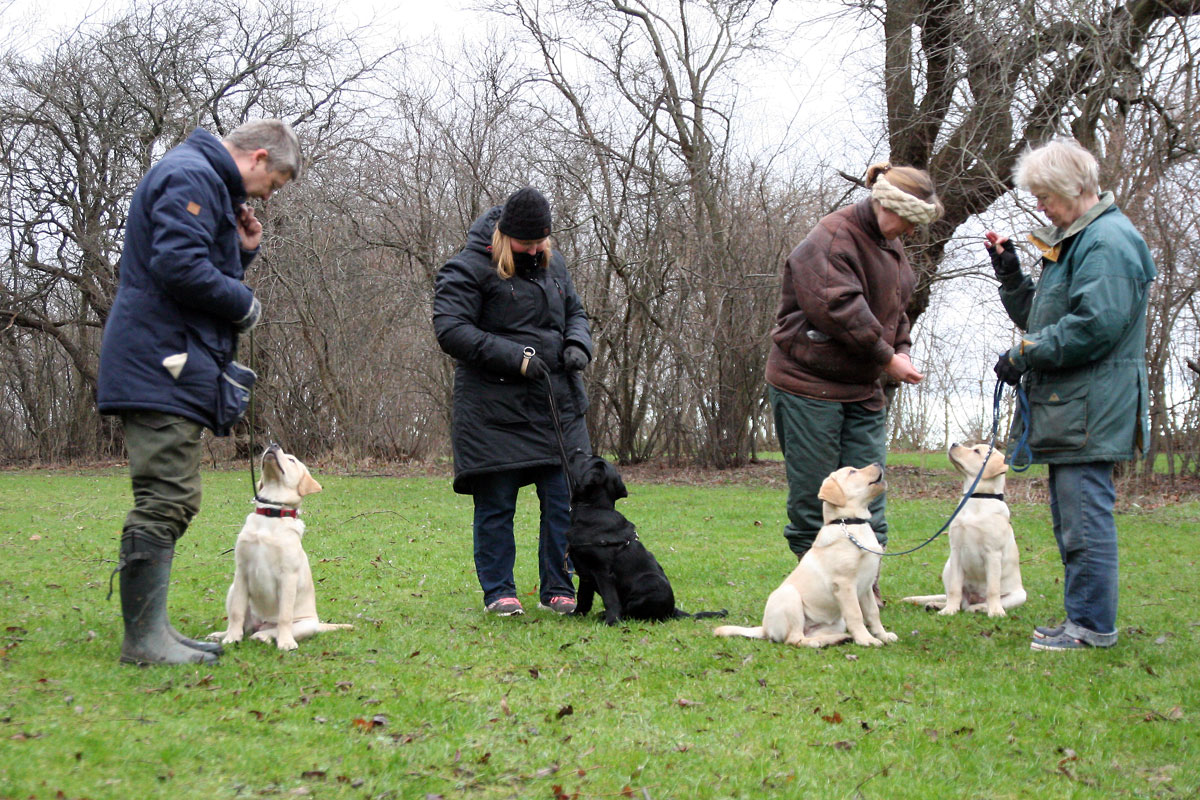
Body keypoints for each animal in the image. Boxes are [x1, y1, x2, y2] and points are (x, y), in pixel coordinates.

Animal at [208, 443, 350, 652]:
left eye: (292, 460)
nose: (273, 444)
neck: (271, 513)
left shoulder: (288, 575)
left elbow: (284, 616)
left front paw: (285, 643)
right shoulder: (241, 571)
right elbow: (236, 612)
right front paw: (231, 638)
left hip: (306, 624)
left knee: (269, 630)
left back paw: (264, 637)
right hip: (232, 589)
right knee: (245, 625)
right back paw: (221, 634)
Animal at [566, 450, 724, 623]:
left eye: (588, 458)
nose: (578, 450)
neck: (594, 508)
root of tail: (672, 611)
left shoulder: (603, 572)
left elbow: (610, 599)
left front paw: (612, 621)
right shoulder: (584, 574)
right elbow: (583, 598)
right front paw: (576, 614)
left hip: (649, 581)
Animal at [710, 465, 902, 647]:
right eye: (852, 472)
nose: (877, 463)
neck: (849, 524)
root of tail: (765, 628)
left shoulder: (867, 586)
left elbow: (872, 613)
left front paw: (883, 635)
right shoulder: (844, 584)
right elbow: (856, 614)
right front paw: (866, 639)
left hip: (834, 622)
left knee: (810, 635)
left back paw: (838, 639)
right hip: (790, 597)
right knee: (795, 639)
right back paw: (825, 642)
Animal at [902, 441, 1027, 618]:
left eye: (976, 451)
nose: (954, 443)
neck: (977, 498)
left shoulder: (993, 553)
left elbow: (993, 589)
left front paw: (995, 612)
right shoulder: (956, 551)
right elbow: (955, 589)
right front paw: (949, 610)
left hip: (1020, 595)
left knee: (983, 602)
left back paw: (980, 608)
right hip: (947, 568)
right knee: (957, 599)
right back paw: (936, 605)